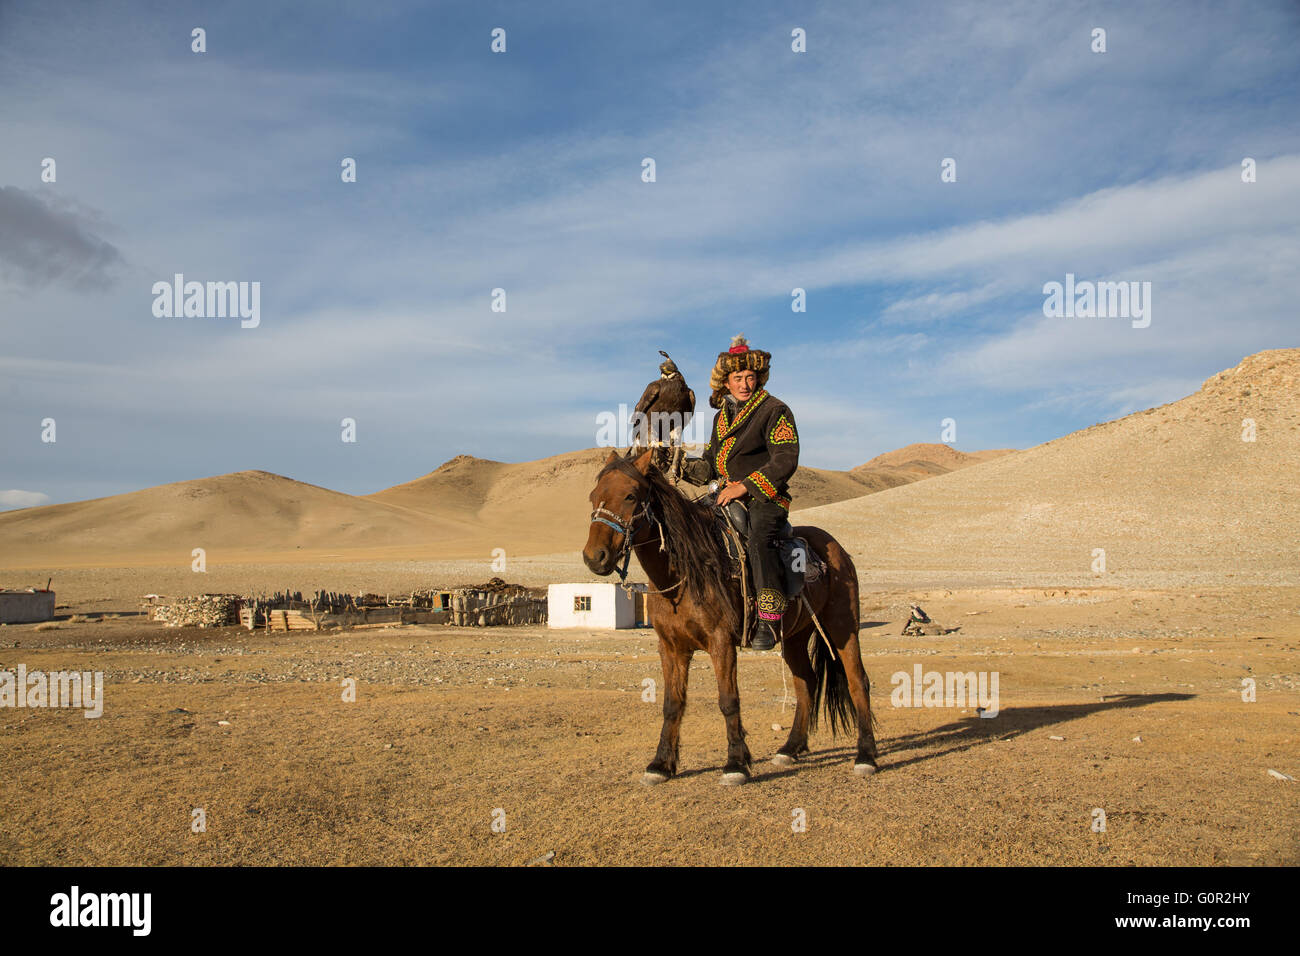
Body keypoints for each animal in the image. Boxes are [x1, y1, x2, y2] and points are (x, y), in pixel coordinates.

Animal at [585, 447, 878, 785]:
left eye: (630, 496)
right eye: (594, 496)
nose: (594, 557)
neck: (685, 573)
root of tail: (835, 549)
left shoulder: (721, 642)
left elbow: (728, 700)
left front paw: (736, 763)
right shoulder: (671, 647)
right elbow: (672, 704)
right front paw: (661, 764)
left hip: (843, 626)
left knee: (858, 681)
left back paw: (866, 755)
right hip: (794, 636)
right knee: (805, 682)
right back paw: (791, 748)